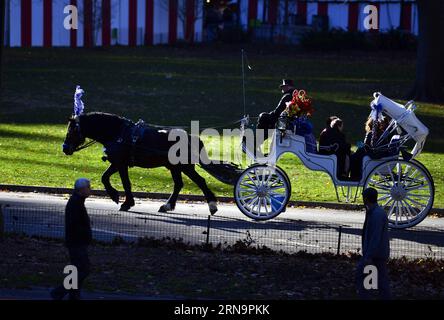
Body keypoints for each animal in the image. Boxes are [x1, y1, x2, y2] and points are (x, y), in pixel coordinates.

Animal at [62, 112, 227, 215]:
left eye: (72, 130)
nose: (64, 148)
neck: (117, 132)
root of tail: (192, 137)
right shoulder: (117, 162)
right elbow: (105, 177)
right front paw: (116, 196)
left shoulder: (121, 164)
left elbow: (125, 183)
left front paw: (126, 202)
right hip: (174, 167)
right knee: (178, 184)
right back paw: (167, 205)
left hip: (184, 166)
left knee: (200, 181)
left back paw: (212, 206)